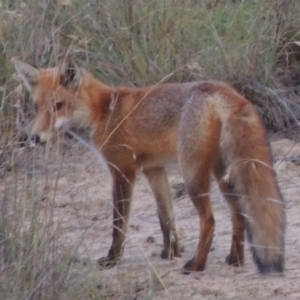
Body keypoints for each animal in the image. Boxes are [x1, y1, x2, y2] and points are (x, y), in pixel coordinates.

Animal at [10, 56, 284, 274]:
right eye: (37, 107)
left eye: (58, 106)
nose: (35, 138)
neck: (103, 113)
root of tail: (224, 90)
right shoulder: (154, 170)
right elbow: (166, 219)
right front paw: (170, 253)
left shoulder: (123, 171)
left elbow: (118, 224)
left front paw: (112, 259)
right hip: (222, 174)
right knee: (238, 214)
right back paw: (235, 260)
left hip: (192, 174)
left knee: (210, 219)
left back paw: (197, 265)